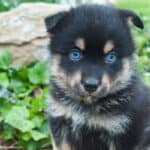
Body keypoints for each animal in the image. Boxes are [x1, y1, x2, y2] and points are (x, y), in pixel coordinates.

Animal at [44, 4, 150, 150]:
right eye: (75, 54)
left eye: (111, 57)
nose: (91, 85)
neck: (87, 106)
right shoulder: (61, 124)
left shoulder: (123, 132)